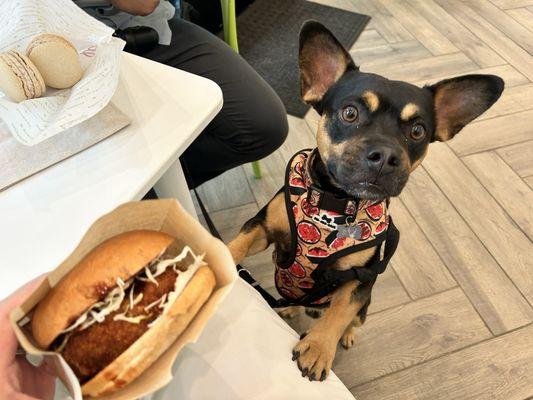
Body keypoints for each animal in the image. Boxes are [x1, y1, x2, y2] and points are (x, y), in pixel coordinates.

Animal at [227, 21, 500, 382]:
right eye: (350, 113)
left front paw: (319, 348)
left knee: (351, 319)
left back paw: (344, 335)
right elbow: (239, 243)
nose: (385, 156)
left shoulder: (360, 279)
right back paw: (289, 305)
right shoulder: (263, 227)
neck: (334, 202)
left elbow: (341, 312)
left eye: (418, 131)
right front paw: (216, 253)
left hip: (365, 304)